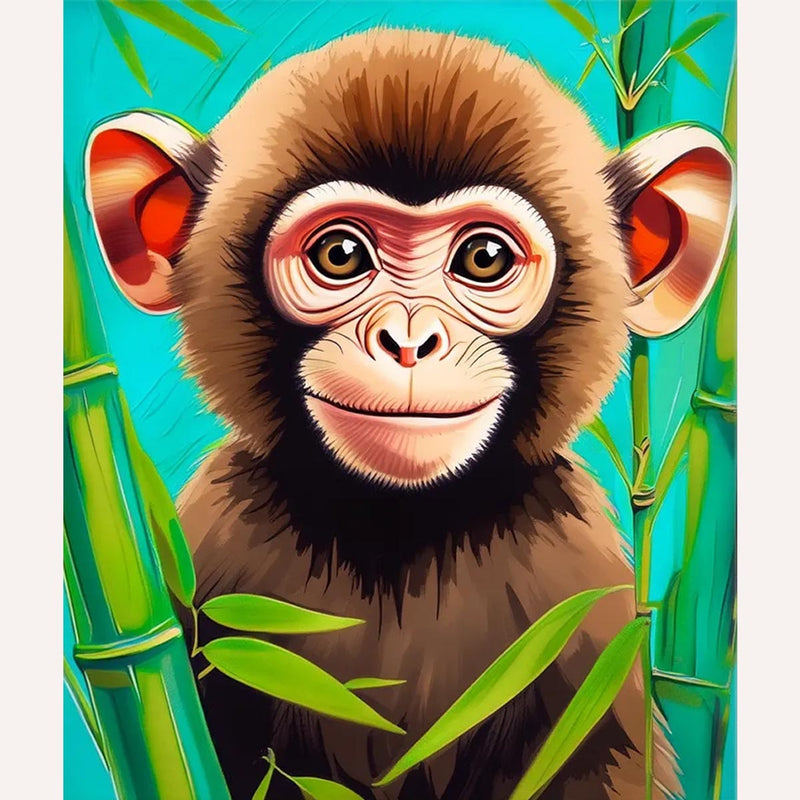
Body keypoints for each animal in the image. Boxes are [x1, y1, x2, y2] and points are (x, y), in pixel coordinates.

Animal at [85, 28, 734, 800]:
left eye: (483, 258)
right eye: (340, 254)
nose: (408, 340)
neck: (401, 529)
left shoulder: (588, 603)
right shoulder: (211, 555)